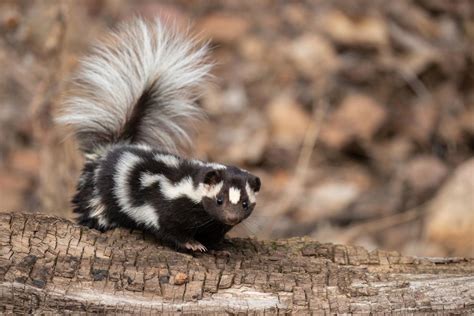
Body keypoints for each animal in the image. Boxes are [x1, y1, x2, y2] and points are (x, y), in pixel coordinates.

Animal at [58, 19, 262, 252]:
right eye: (219, 200)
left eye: (245, 203)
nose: (231, 217)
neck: (190, 187)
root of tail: (110, 148)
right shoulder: (163, 201)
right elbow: (167, 225)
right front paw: (192, 244)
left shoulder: (212, 222)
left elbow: (212, 232)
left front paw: (219, 246)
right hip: (99, 190)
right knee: (95, 209)